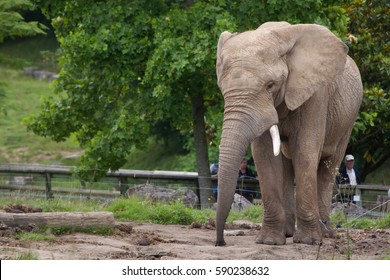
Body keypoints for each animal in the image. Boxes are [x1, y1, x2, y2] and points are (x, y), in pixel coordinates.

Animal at [215, 21, 362, 245]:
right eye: (222, 88)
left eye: (270, 85)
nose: (220, 242)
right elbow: (265, 156)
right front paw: (269, 241)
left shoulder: (315, 95)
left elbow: (305, 151)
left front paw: (309, 241)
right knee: (287, 165)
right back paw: (288, 233)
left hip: (347, 121)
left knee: (328, 166)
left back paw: (326, 233)